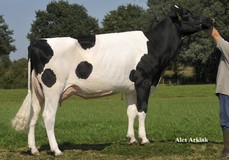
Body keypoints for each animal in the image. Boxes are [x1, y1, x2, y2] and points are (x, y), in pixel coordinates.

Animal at [12, 4, 213, 155]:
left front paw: (131, 139)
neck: (154, 45)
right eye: (188, 13)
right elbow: (142, 111)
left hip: (37, 91)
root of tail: (37, 42)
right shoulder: (144, 82)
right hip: (53, 87)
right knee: (48, 116)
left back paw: (34, 149)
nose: (210, 20)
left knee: (33, 115)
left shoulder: (131, 87)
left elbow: (131, 112)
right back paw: (56, 150)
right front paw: (144, 139)